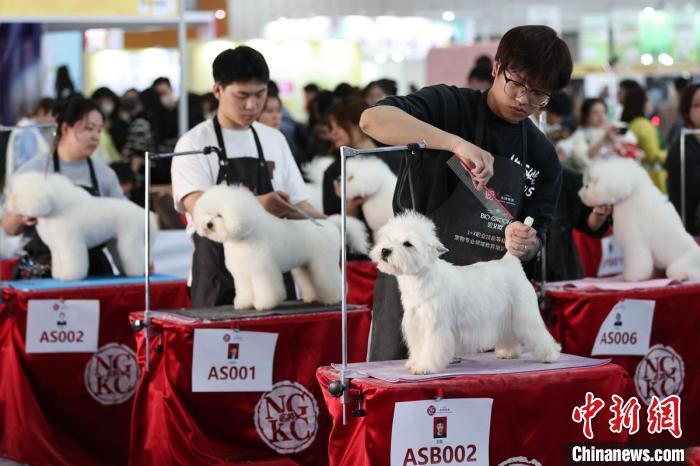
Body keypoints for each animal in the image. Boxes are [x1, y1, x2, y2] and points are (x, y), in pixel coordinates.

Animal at [6, 171, 155, 280]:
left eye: (18, 194)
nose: (9, 204)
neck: (55, 209)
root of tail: (140, 213)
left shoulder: (69, 243)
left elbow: (71, 260)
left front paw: (69, 276)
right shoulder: (57, 247)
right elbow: (59, 261)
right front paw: (58, 275)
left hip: (130, 237)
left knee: (134, 254)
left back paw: (138, 272)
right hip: (115, 241)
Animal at [190, 184, 366, 312]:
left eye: (220, 215)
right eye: (207, 213)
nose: (208, 224)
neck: (245, 237)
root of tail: (330, 225)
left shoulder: (262, 270)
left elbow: (265, 289)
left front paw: (263, 304)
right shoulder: (242, 275)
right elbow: (244, 290)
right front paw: (244, 304)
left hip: (323, 263)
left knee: (331, 280)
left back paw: (332, 299)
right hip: (306, 266)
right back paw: (312, 297)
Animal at [370, 211, 560, 374]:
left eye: (408, 244)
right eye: (388, 238)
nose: (385, 251)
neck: (420, 278)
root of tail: (511, 263)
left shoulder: (435, 325)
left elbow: (431, 348)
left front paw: (424, 367)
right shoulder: (417, 323)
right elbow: (419, 346)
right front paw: (415, 362)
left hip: (524, 314)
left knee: (540, 334)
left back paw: (550, 355)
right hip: (506, 316)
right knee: (509, 334)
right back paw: (508, 352)